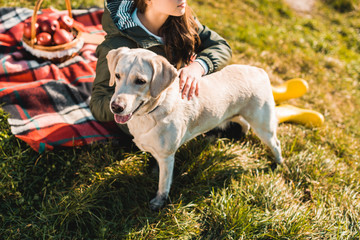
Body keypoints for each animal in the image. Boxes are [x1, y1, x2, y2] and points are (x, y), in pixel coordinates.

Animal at [105, 47, 282, 210]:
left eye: (140, 81)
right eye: (117, 75)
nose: (116, 107)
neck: (153, 110)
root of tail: (259, 71)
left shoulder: (167, 157)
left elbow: (163, 183)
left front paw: (159, 202)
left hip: (263, 125)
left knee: (276, 143)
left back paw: (278, 163)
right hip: (236, 115)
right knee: (244, 124)